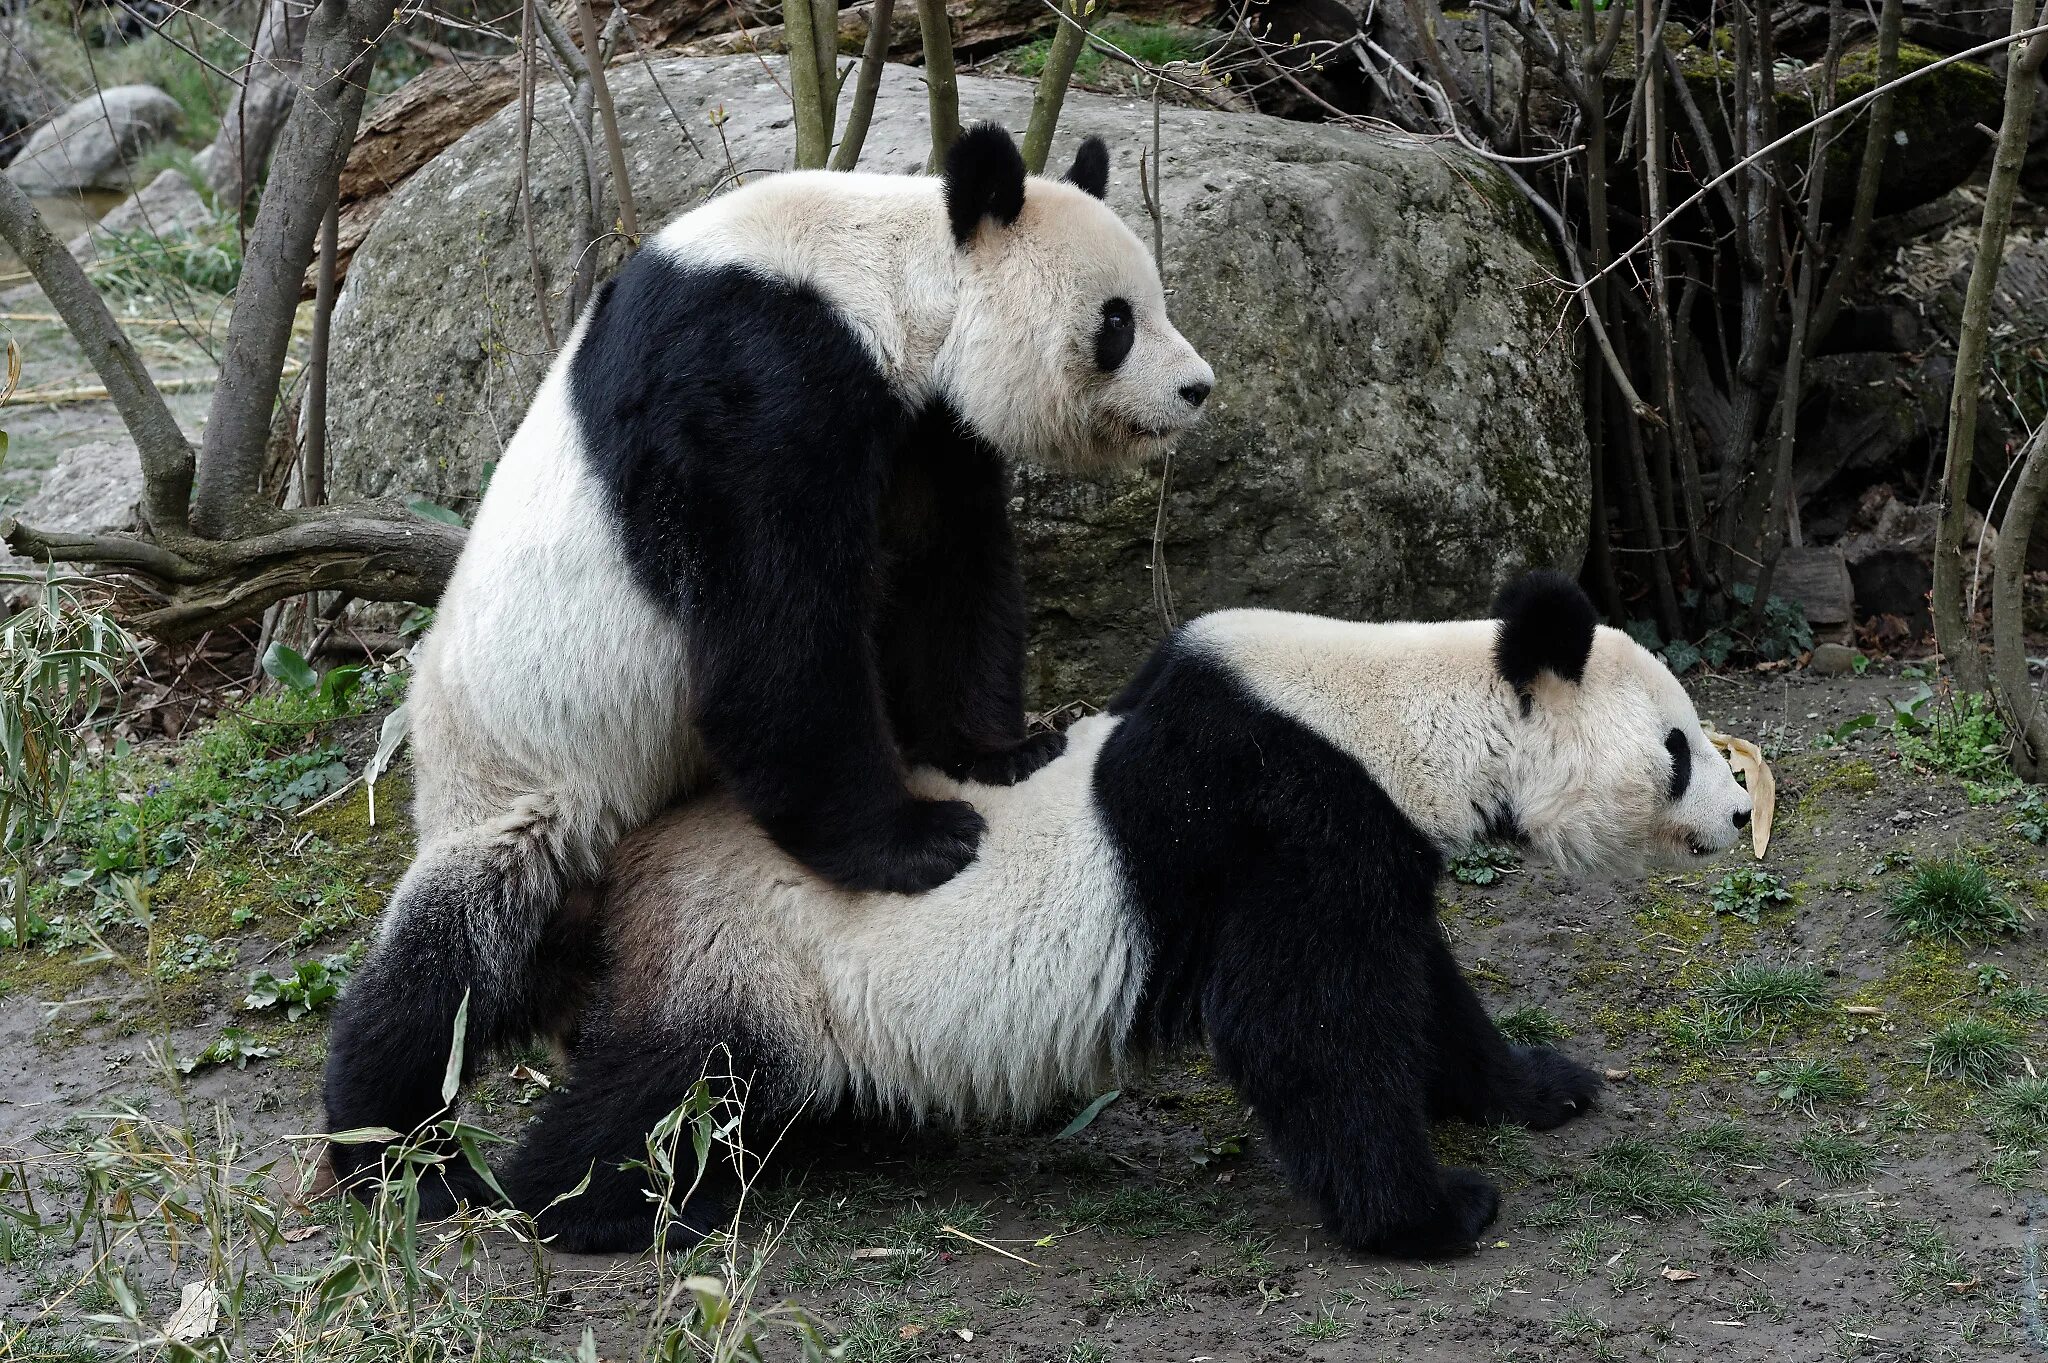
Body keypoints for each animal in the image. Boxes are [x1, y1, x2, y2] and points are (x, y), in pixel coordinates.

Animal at [321, 122, 1212, 1178]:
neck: (879, 273)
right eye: (1117, 320)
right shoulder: (751, 383)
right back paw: (390, 1146)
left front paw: (1003, 749)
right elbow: (779, 633)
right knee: (448, 965)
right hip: (521, 781)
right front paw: (916, 842)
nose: (1197, 388)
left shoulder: (924, 426)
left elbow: (947, 571)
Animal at [436, 568, 1761, 1252]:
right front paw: (1433, 1211)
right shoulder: (1280, 818)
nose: (1744, 809)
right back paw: (579, 1203)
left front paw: (1540, 1086)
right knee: (662, 1084)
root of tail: (632, 861)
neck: (1400, 715)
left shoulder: (1355, 840)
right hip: (741, 952)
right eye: (1678, 746)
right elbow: (1307, 1027)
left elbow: (1423, 988)